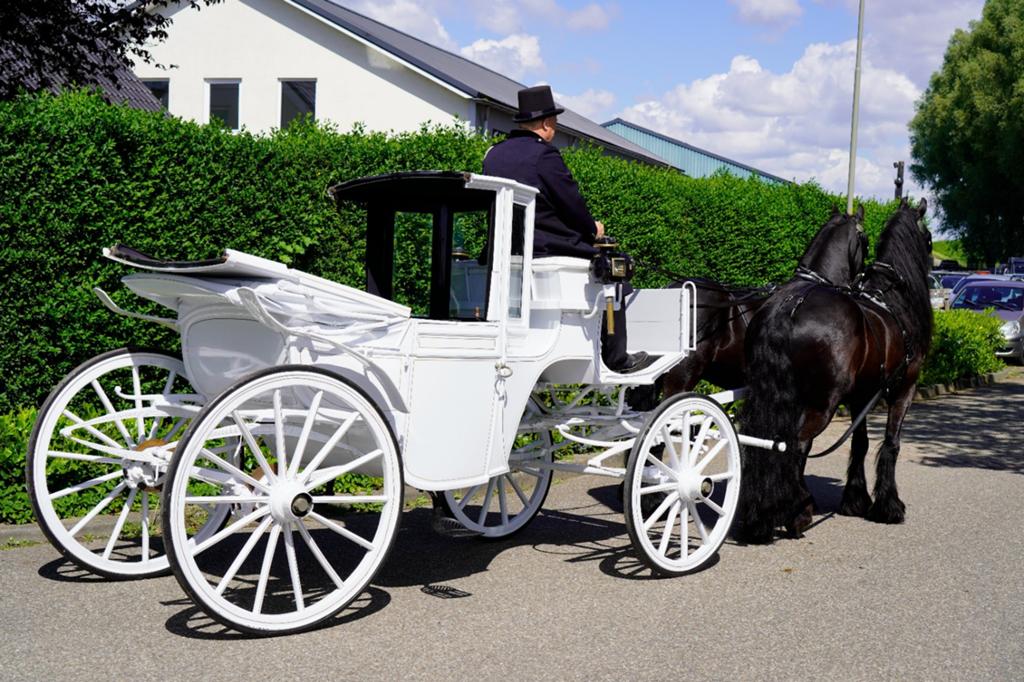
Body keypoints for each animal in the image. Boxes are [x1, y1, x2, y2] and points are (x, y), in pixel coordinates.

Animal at [733, 198, 932, 544]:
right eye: (930, 237)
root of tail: (788, 307)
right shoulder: (904, 389)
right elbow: (891, 443)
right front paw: (888, 506)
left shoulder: (862, 395)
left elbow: (860, 443)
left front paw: (855, 499)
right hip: (822, 404)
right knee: (796, 444)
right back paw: (797, 512)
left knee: (763, 441)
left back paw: (760, 515)